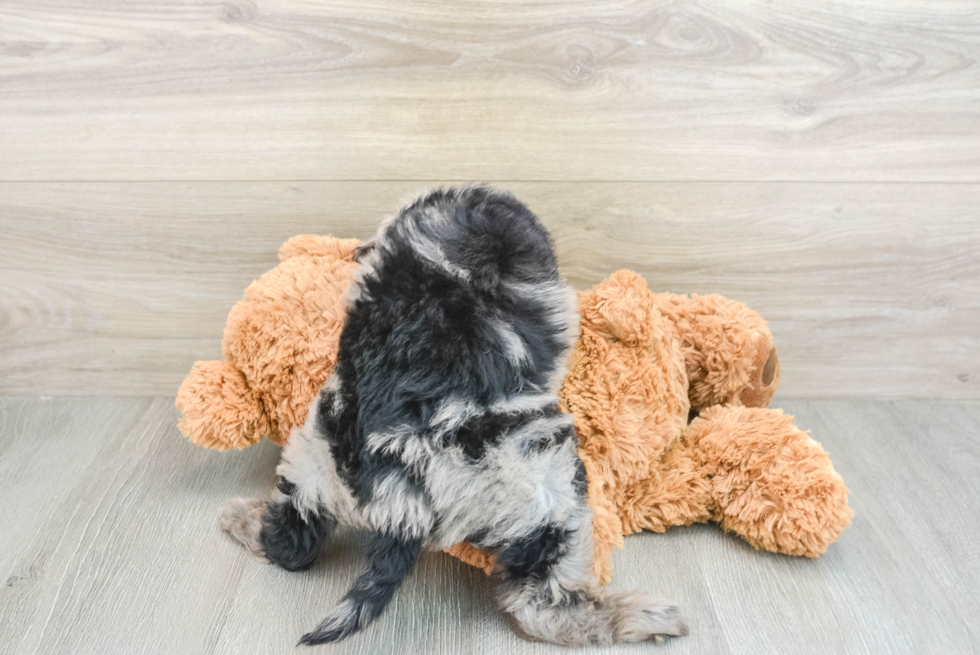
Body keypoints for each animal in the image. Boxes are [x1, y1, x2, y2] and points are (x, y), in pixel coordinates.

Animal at [218, 184, 684, 644]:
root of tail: (398, 487)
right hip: (548, 493)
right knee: (544, 606)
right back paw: (641, 617)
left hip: (313, 460)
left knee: (291, 540)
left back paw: (242, 519)